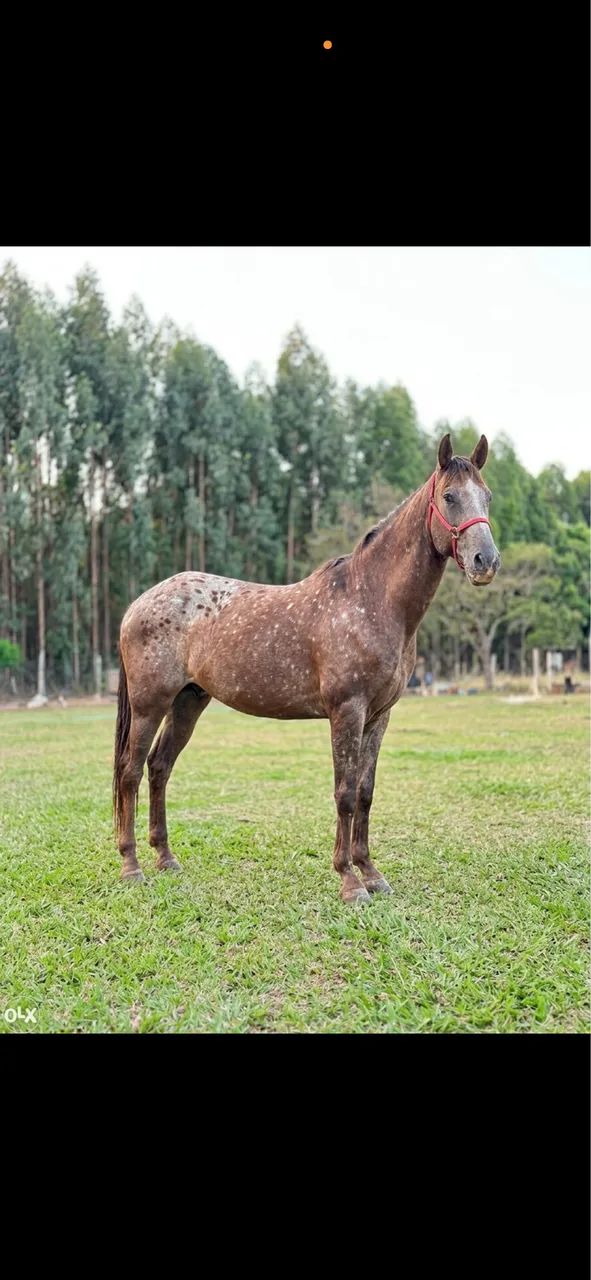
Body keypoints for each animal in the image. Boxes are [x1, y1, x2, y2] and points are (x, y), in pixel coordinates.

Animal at [113, 432, 500, 903]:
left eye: (486, 495)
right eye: (449, 496)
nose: (486, 561)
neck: (371, 599)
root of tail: (139, 603)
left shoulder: (379, 717)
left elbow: (365, 793)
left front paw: (371, 873)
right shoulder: (347, 711)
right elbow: (345, 794)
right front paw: (350, 882)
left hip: (189, 701)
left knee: (159, 767)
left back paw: (166, 858)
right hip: (150, 703)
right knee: (130, 771)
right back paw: (131, 867)